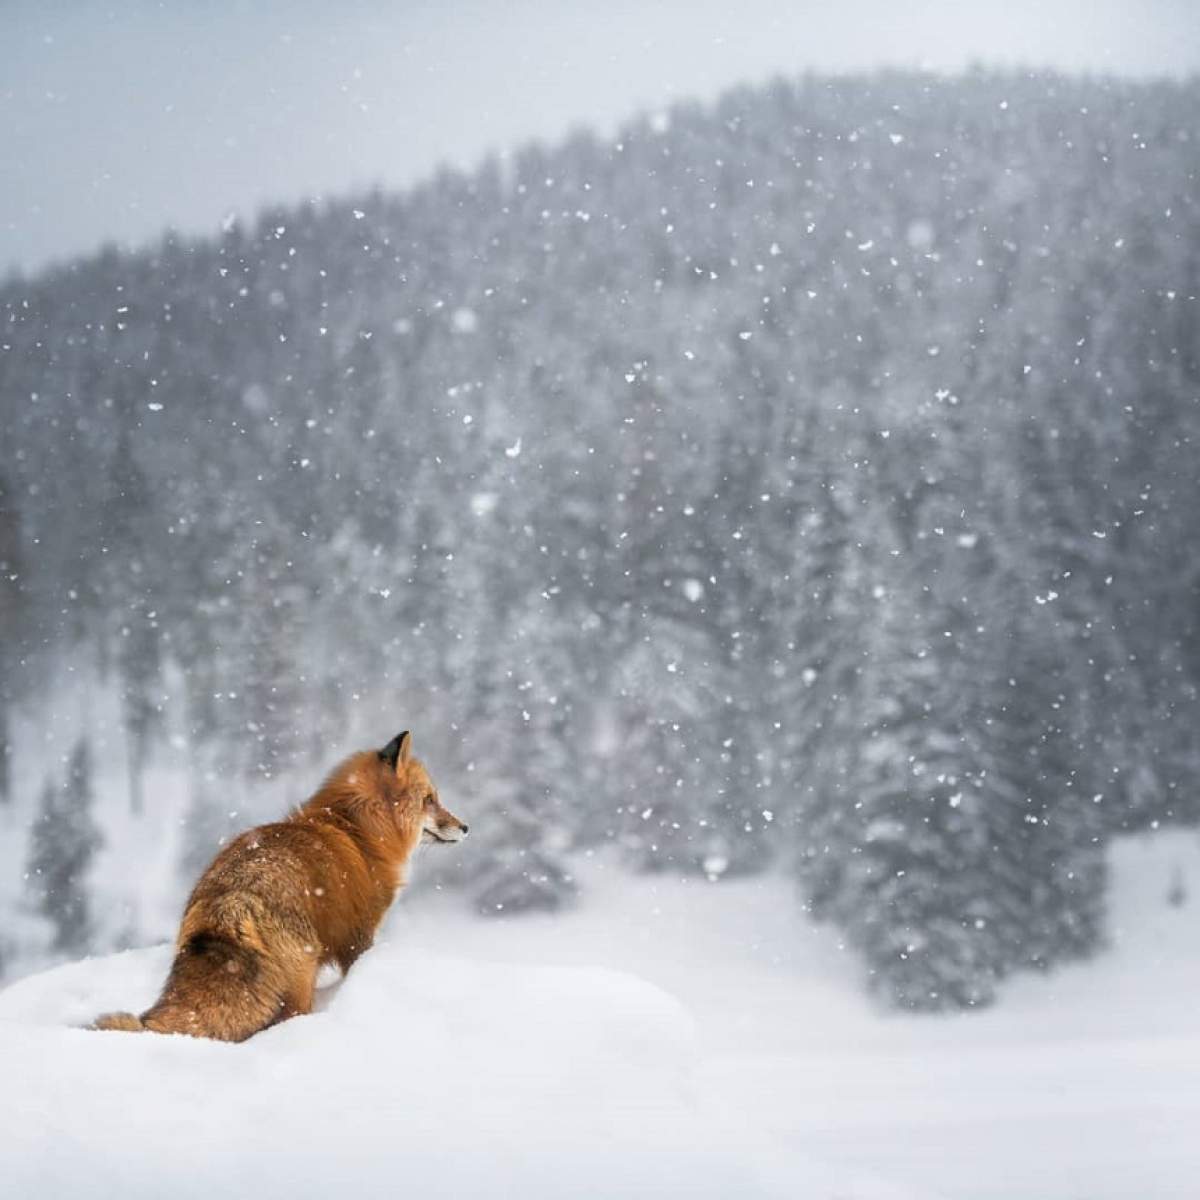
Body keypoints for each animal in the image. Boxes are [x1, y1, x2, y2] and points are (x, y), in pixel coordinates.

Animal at [91, 729, 465, 1041]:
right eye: (430, 799)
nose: (465, 827)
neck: (356, 830)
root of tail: (228, 903)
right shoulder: (358, 934)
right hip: (302, 976)